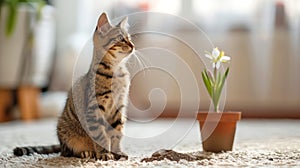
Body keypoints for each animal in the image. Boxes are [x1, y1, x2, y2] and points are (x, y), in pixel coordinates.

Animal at [13, 12, 135, 160]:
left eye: (129, 38)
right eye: (121, 39)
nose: (133, 45)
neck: (117, 72)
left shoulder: (119, 107)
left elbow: (117, 134)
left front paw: (118, 152)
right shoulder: (94, 109)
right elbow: (101, 135)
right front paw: (104, 153)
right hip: (66, 133)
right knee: (67, 153)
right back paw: (86, 152)